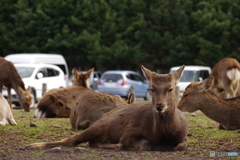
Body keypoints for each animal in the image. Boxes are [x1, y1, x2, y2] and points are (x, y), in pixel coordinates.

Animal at [25, 64, 188, 151]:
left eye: (171, 88)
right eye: (152, 88)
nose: (160, 106)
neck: (163, 134)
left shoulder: (183, 138)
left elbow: (181, 146)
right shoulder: (128, 133)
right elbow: (145, 144)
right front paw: (128, 146)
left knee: (92, 142)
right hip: (100, 126)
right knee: (71, 140)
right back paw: (31, 145)